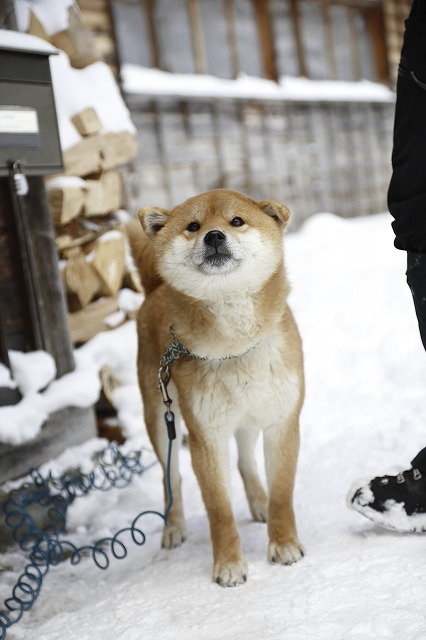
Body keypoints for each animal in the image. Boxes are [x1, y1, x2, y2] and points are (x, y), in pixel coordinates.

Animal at [132, 186, 302, 584]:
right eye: (193, 226)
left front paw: (284, 543)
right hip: (160, 418)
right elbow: (219, 510)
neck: (235, 348)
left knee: (245, 461)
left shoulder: (281, 422)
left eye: (236, 221)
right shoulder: (206, 437)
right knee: (172, 481)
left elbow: (282, 493)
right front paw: (228, 564)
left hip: (247, 419)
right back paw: (173, 527)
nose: (213, 236)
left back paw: (259, 503)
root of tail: (153, 290)